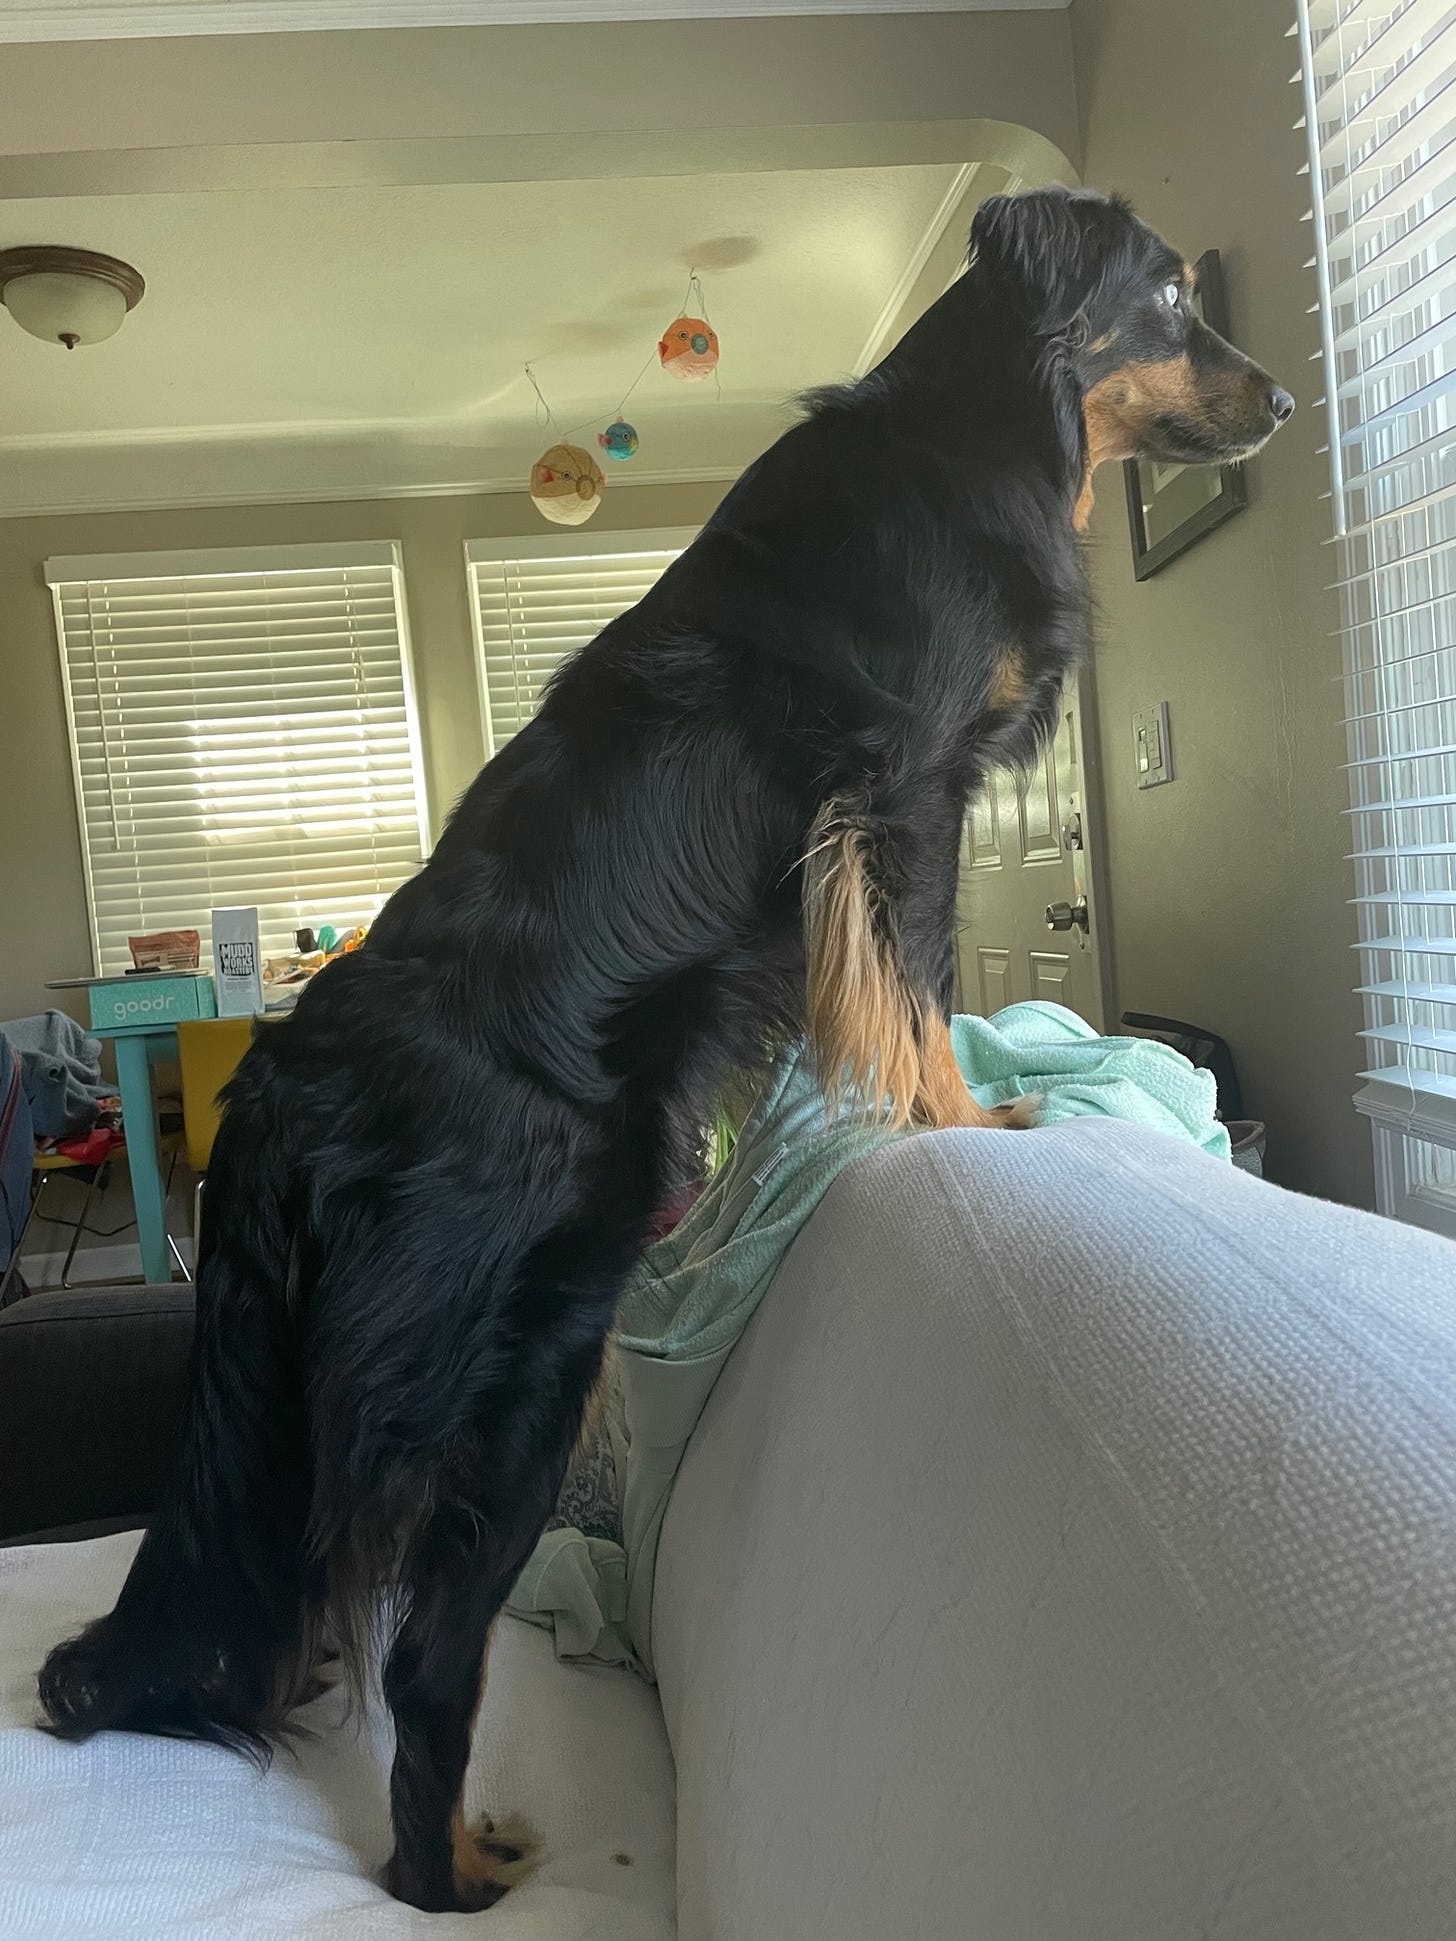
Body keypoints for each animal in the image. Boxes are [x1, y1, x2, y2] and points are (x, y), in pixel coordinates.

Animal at [34, 189, 1296, 1917]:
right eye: (1171, 296)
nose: (1285, 400)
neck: (982, 426)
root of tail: (283, 1087)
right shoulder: (901, 791)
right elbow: (912, 979)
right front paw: (973, 1116)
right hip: (521, 1370)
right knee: (423, 1652)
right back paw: (451, 1879)